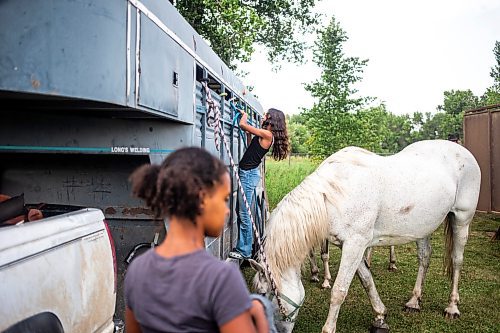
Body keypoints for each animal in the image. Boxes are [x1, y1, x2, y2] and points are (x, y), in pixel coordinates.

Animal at [252, 140, 482, 332]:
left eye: (263, 293)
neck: (332, 195)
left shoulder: (355, 244)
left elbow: (339, 291)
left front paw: (329, 328)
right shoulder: (351, 245)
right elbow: (366, 279)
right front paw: (380, 316)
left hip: (462, 220)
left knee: (457, 260)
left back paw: (452, 307)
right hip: (421, 228)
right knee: (424, 257)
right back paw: (414, 302)